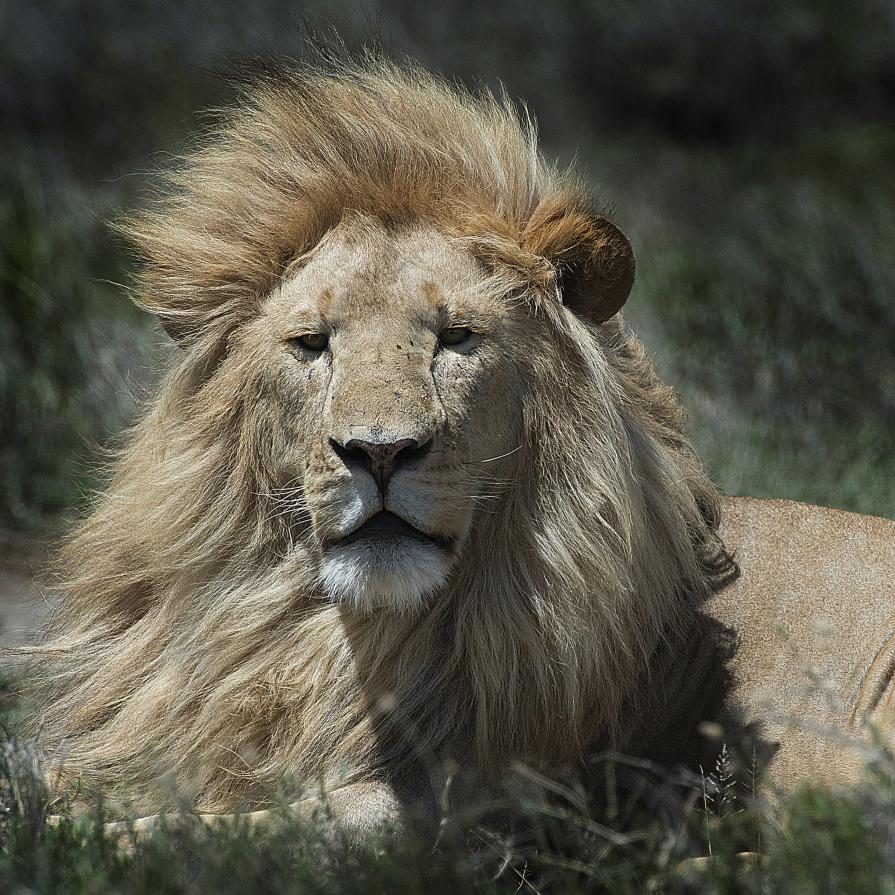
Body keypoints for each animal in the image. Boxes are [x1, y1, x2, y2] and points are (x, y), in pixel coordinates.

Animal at [27, 57, 895, 841]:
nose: (378, 452)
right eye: (312, 344)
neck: (331, 635)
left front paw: (91, 830)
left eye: (456, 338)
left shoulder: (498, 794)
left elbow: (284, 821)